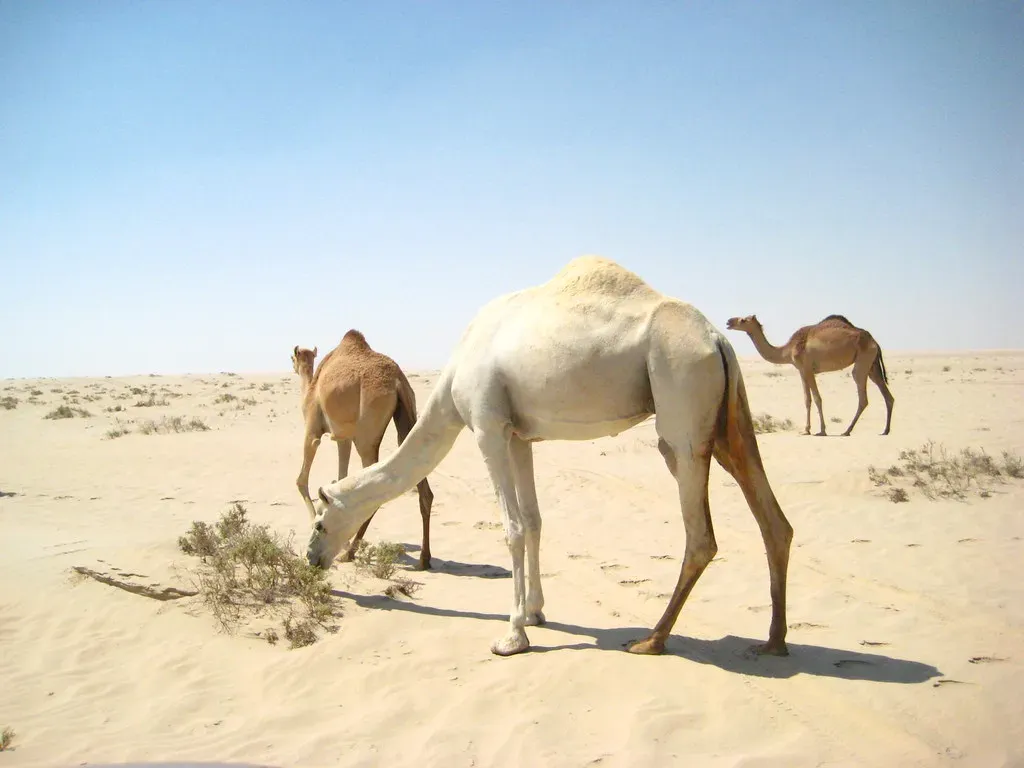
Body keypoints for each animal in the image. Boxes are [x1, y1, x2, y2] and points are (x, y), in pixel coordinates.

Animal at [291, 331, 434, 569]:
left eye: (292, 357)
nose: (293, 365)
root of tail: (398, 381)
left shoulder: (313, 430)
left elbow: (302, 480)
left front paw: (317, 524)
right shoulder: (343, 436)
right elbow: (341, 478)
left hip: (367, 431)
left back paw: (349, 554)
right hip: (408, 415)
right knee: (423, 487)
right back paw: (424, 559)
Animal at [306, 256, 793, 659]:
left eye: (319, 522)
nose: (311, 559)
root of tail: (717, 338)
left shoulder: (487, 427)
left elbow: (513, 527)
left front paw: (512, 636)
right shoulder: (519, 436)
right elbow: (535, 520)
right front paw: (535, 613)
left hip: (682, 401)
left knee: (701, 533)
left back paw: (653, 639)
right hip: (728, 419)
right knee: (774, 520)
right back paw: (773, 641)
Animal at [725, 314, 894, 437]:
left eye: (743, 320)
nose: (729, 321)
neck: (787, 350)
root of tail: (875, 342)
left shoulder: (806, 368)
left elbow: (816, 398)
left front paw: (821, 431)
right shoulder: (801, 371)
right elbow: (807, 399)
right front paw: (807, 429)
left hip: (863, 361)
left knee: (863, 397)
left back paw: (847, 431)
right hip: (872, 365)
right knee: (888, 396)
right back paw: (885, 430)